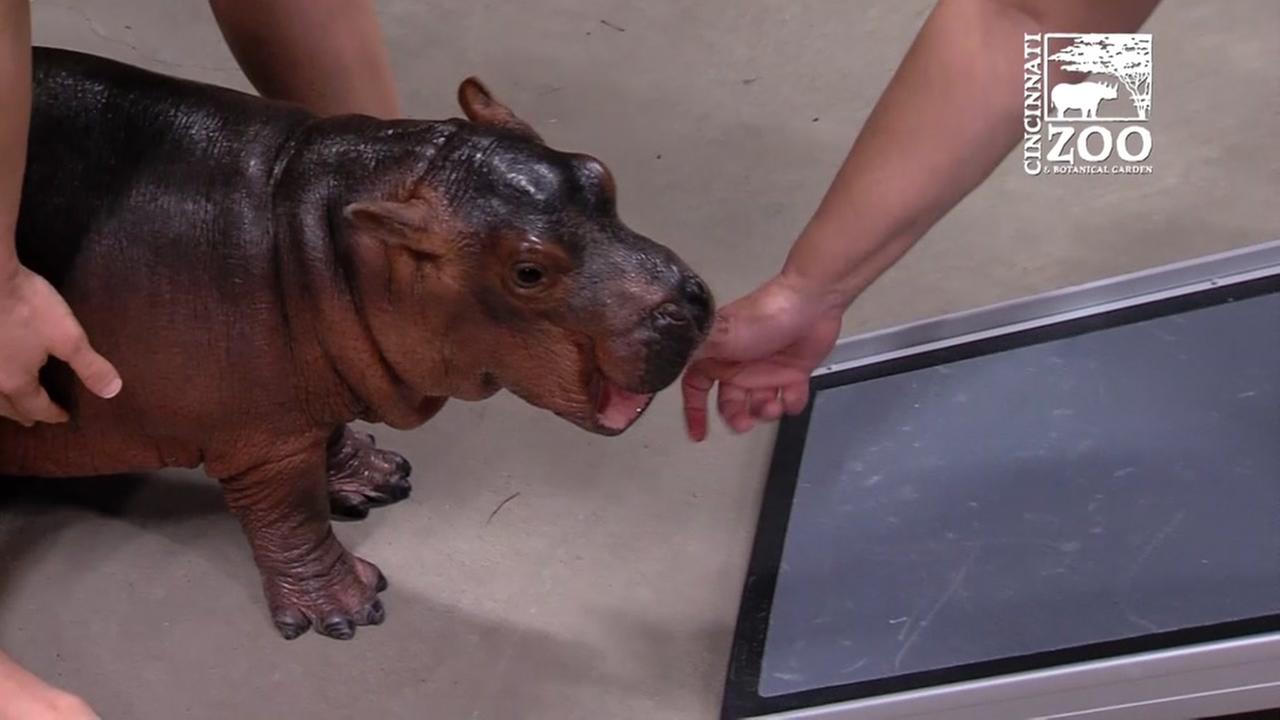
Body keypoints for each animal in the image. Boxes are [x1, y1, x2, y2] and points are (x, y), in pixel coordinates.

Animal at [1, 47, 713, 640]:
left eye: (599, 173)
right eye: (528, 272)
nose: (686, 303)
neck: (313, 233)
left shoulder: (315, 375)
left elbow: (332, 431)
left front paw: (376, 477)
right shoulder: (264, 439)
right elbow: (292, 514)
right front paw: (349, 611)